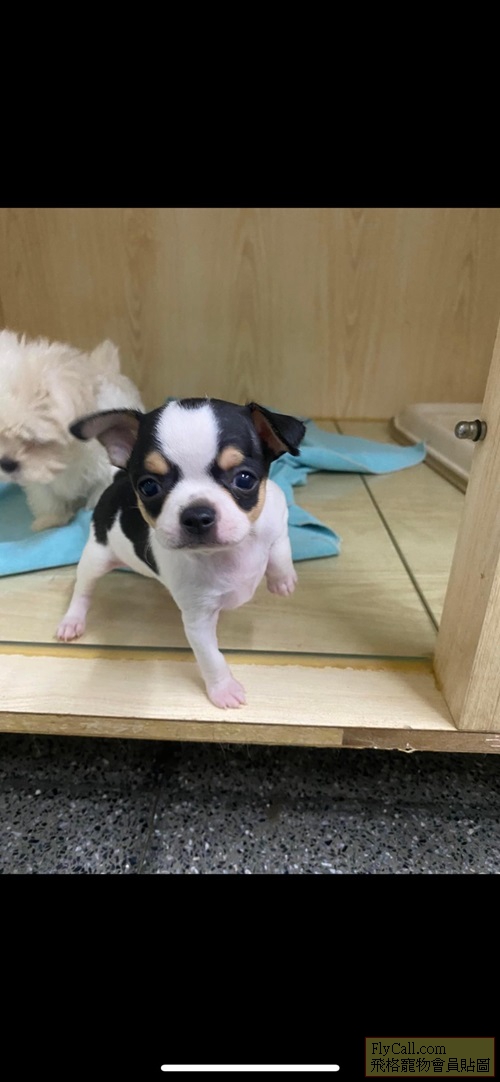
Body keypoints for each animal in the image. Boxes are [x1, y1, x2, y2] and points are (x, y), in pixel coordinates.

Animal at [0, 329, 144, 531]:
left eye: (33, 440)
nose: (6, 464)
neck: (66, 458)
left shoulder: (105, 467)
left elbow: (101, 488)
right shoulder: (39, 481)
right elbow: (47, 499)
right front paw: (51, 520)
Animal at [56, 397, 306, 708]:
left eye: (245, 480)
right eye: (149, 486)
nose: (197, 515)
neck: (230, 552)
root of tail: (117, 478)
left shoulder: (277, 517)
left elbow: (280, 547)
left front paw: (282, 580)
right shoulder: (198, 621)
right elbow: (211, 658)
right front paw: (224, 690)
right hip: (98, 554)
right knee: (83, 589)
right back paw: (72, 620)